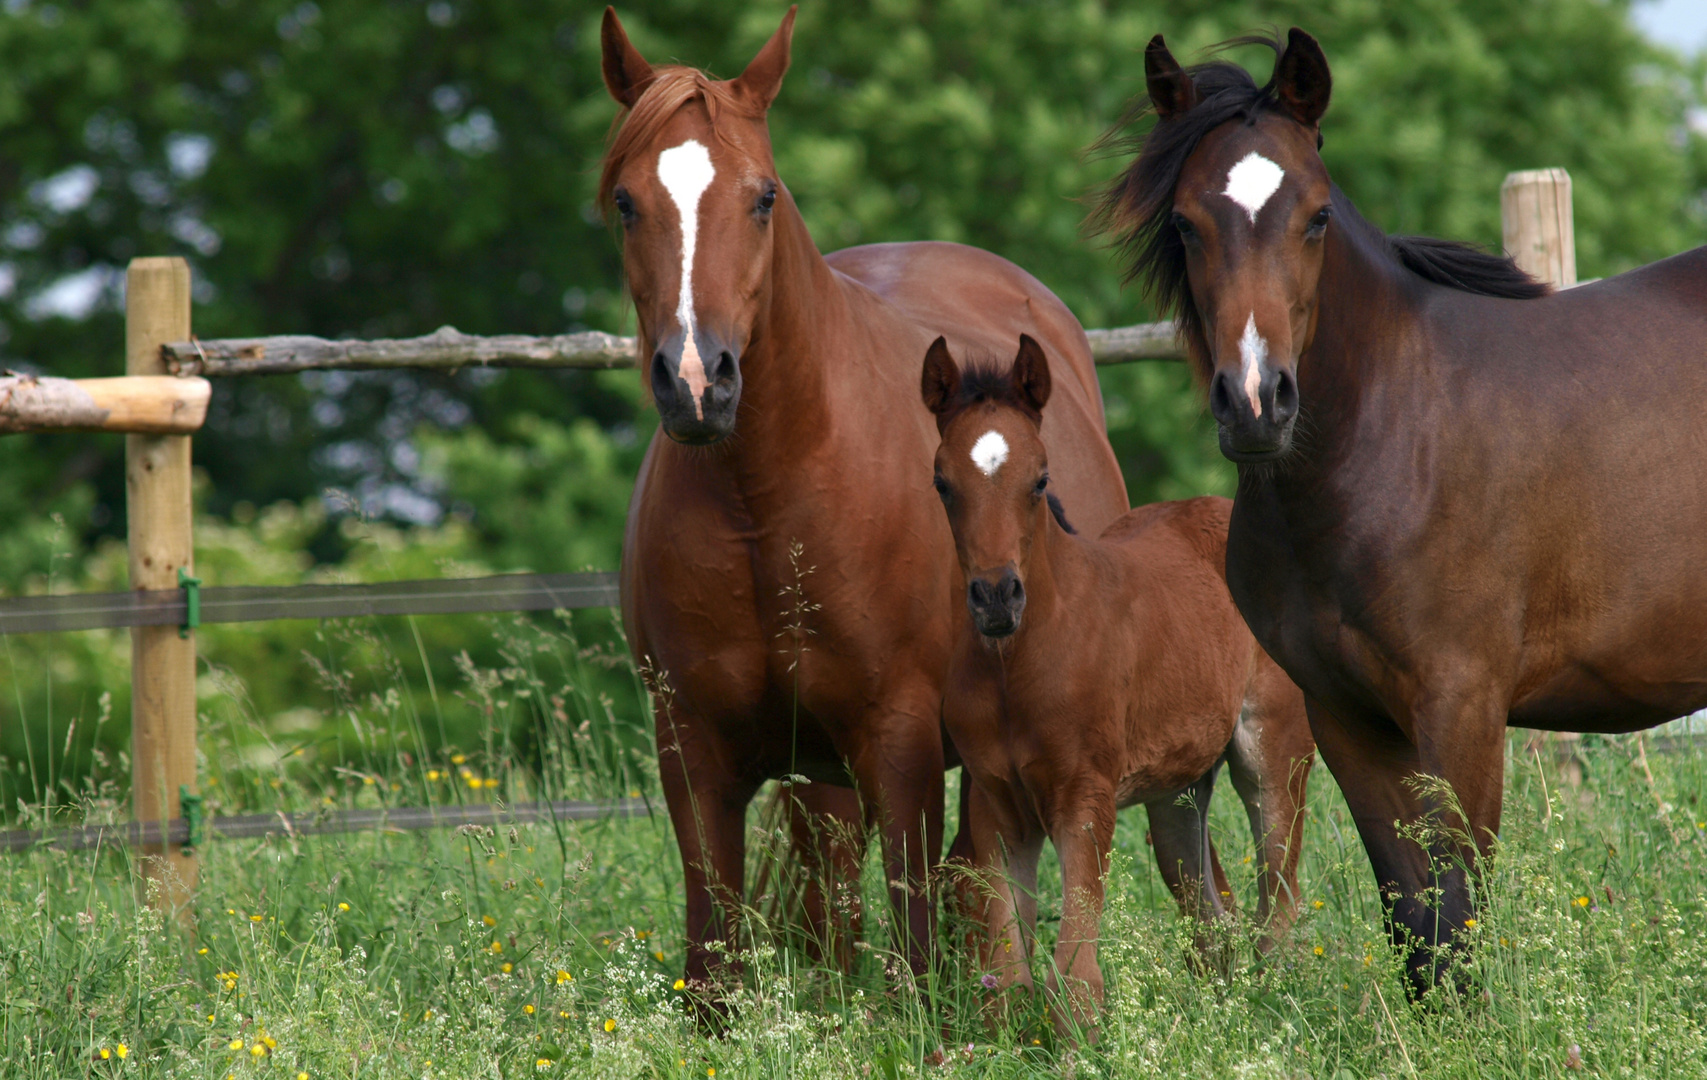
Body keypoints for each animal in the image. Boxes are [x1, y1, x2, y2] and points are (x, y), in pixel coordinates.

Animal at [600, 8, 1133, 982]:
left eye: (762, 196)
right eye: (625, 201)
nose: (696, 382)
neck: (767, 500)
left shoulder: (903, 744)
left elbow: (916, 943)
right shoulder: (691, 750)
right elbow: (713, 953)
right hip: (824, 781)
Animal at [921, 337, 1304, 1030]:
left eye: (1040, 479)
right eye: (942, 483)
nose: (996, 597)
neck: (1016, 667)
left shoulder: (1084, 795)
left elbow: (1076, 973)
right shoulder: (995, 801)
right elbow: (1007, 972)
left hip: (1274, 752)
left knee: (1276, 905)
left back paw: (1274, 1009)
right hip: (1177, 790)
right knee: (1213, 921)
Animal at [1092, 29, 1707, 989]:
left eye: (1314, 216)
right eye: (1185, 223)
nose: (1256, 404)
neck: (1388, 447)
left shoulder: (1461, 710)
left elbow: (1455, 917)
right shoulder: (1344, 715)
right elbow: (1411, 920)